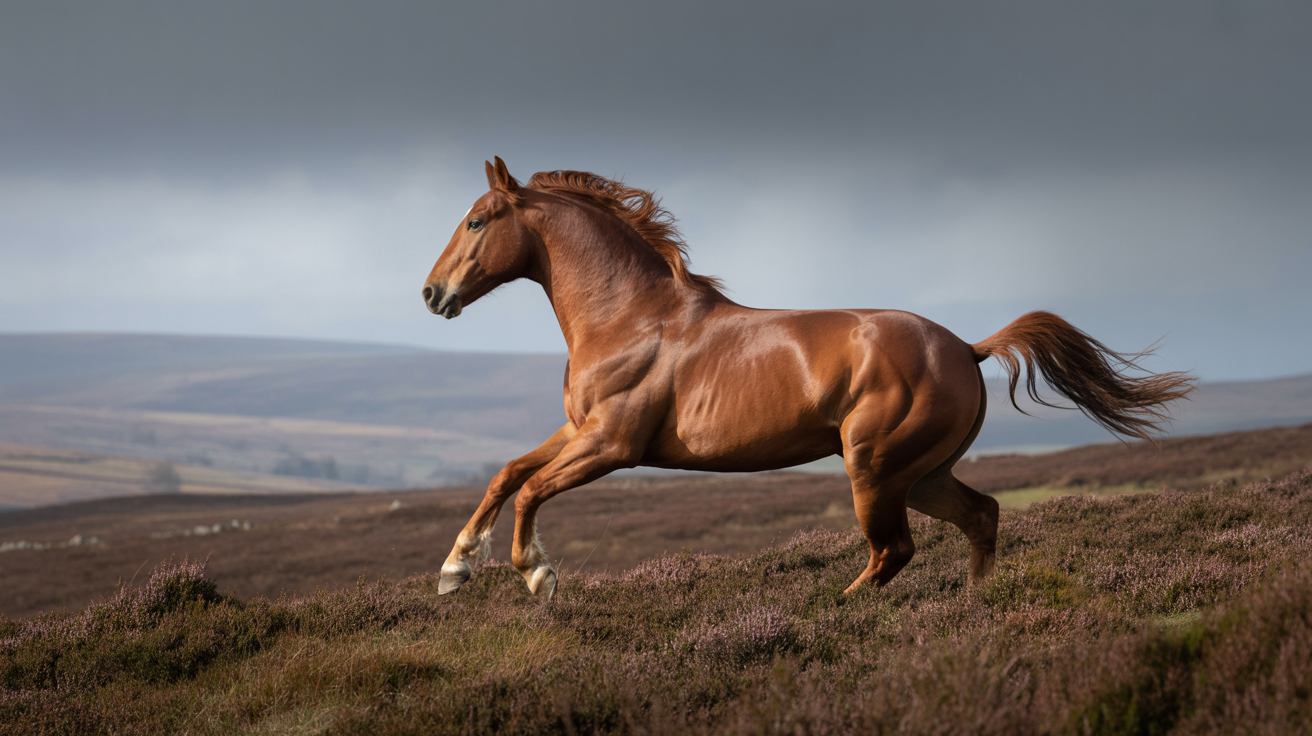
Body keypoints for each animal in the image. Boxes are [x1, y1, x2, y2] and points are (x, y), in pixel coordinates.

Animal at [422, 157, 1195, 601]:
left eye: (477, 220)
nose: (432, 294)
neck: (632, 317)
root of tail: (967, 348)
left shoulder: (614, 444)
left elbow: (531, 492)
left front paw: (536, 574)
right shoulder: (579, 430)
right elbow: (507, 474)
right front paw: (454, 570)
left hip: (875, 468)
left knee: (895, 550)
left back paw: (840, 609)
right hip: (923, 474)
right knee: (980, 516)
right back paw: (974, 607)